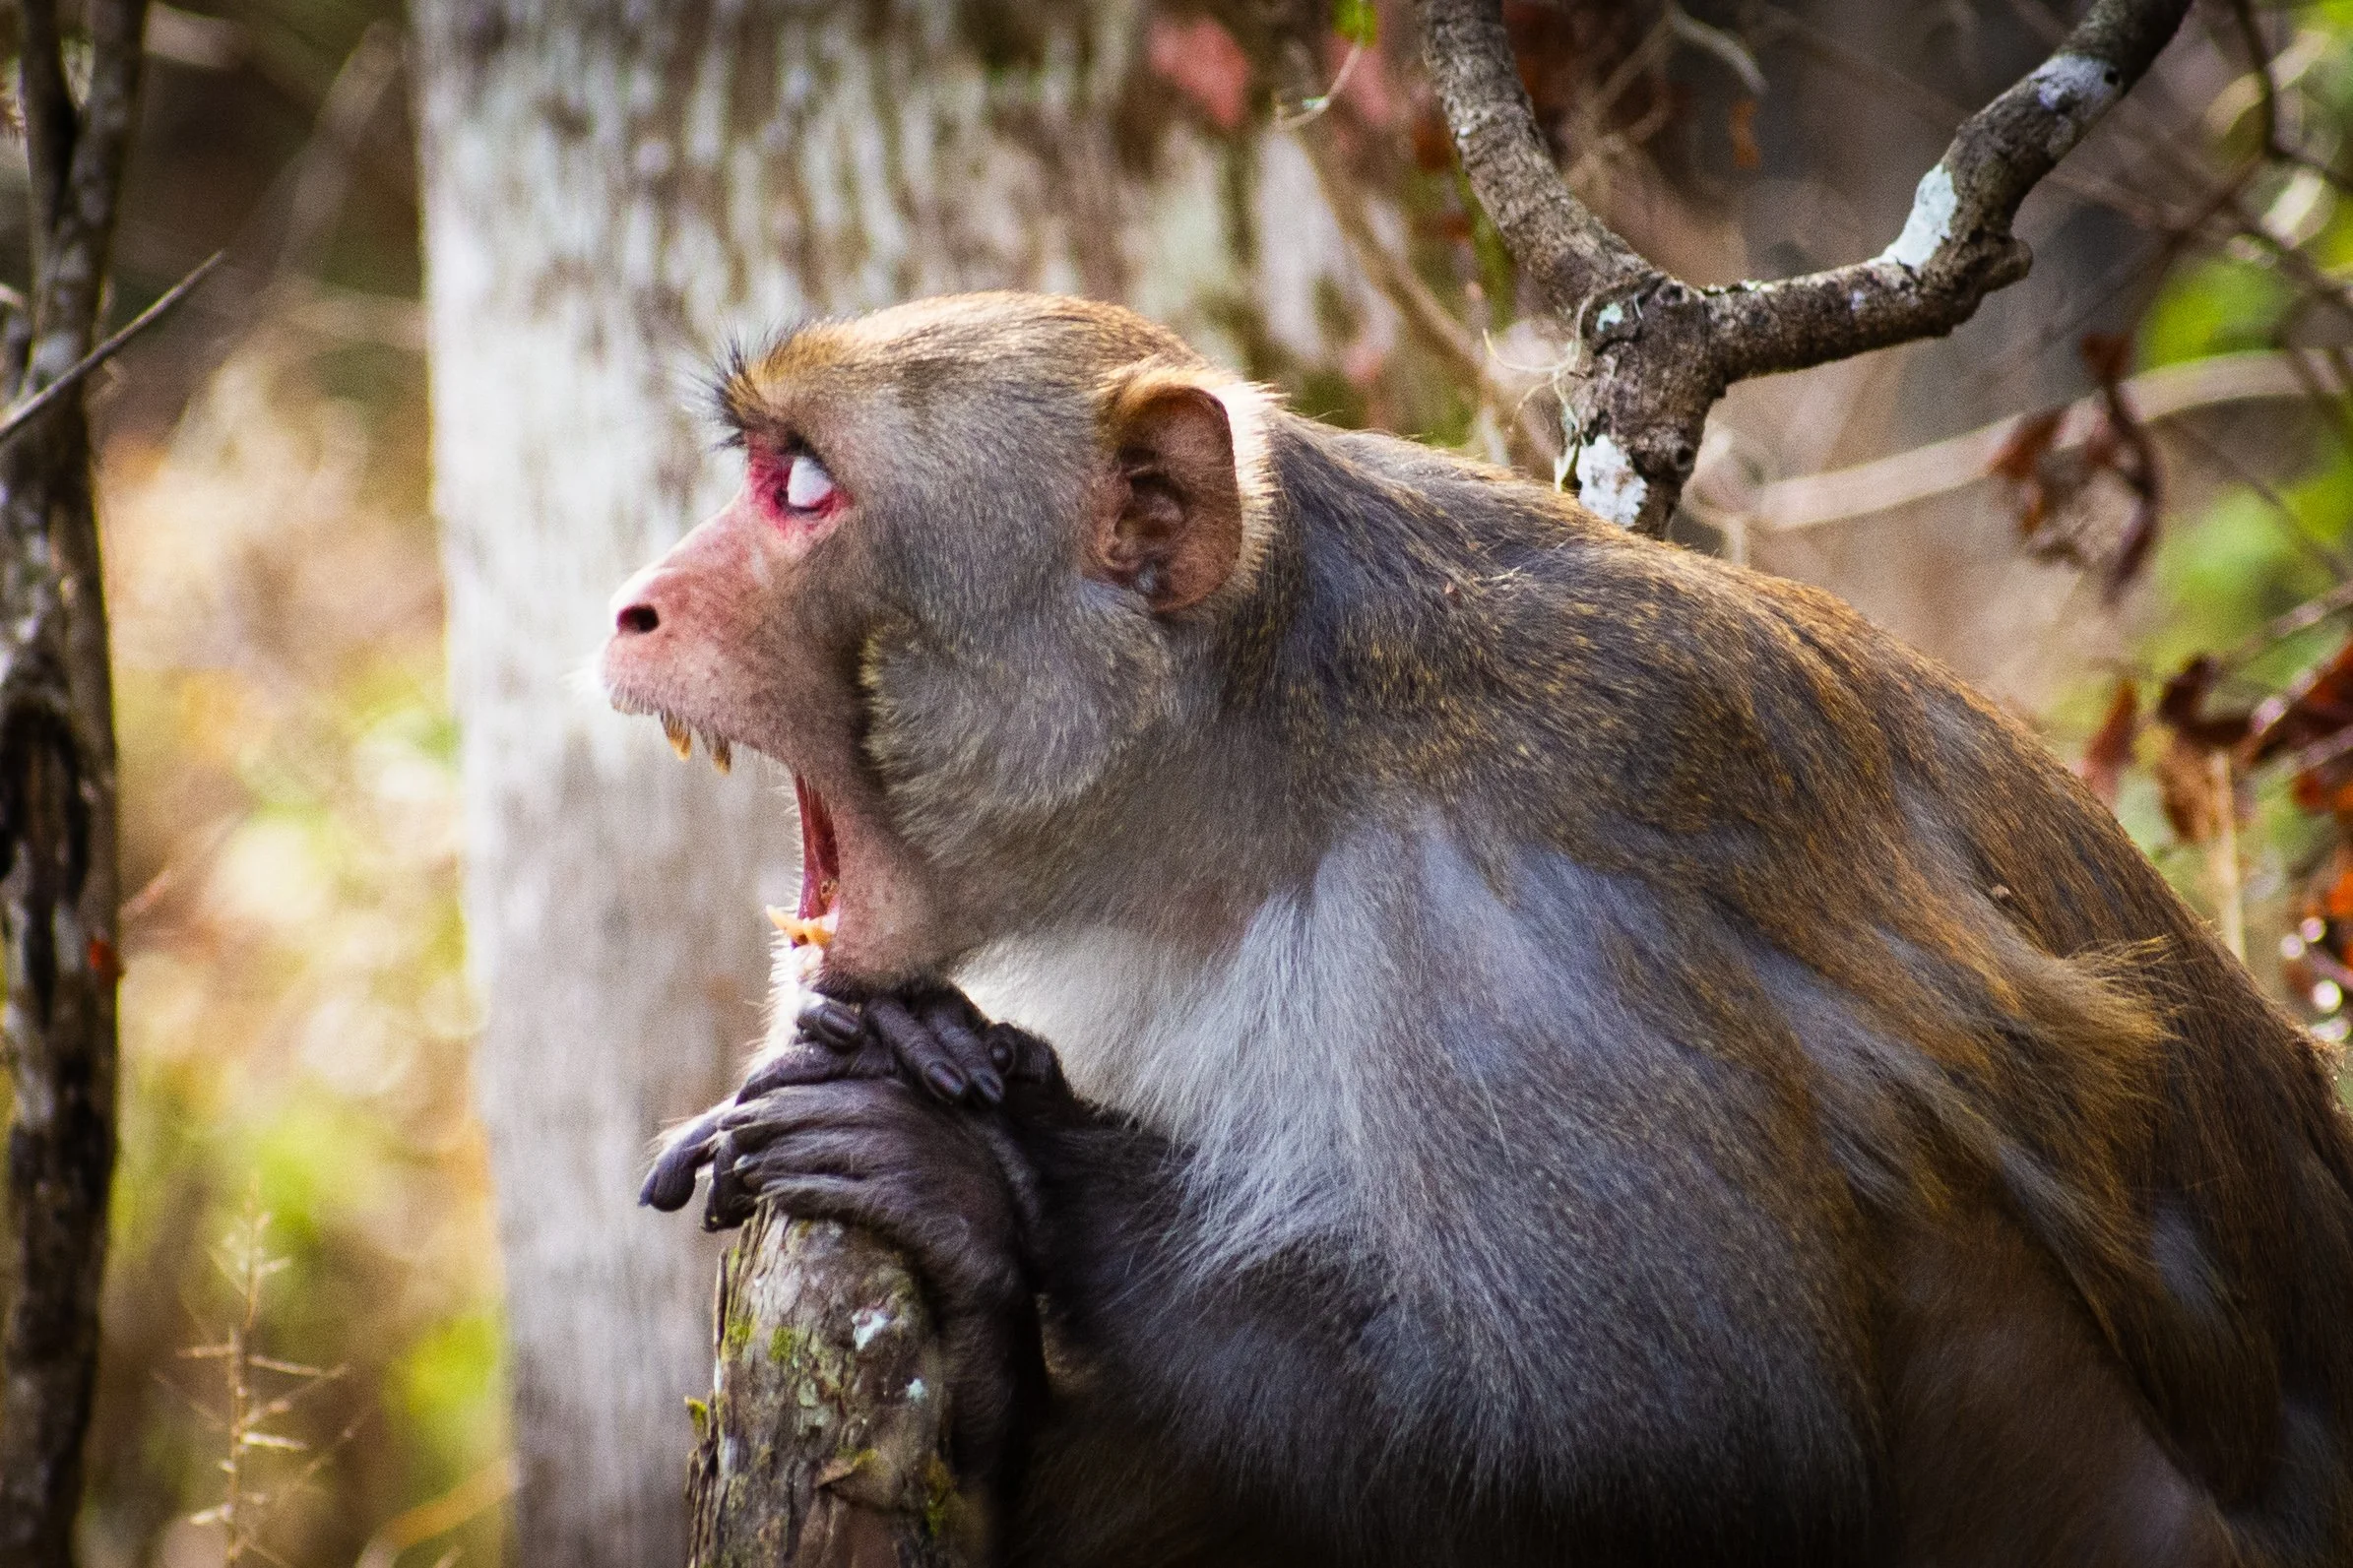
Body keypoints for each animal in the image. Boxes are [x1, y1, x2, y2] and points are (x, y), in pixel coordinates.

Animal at [600, 292, 2353, 1567]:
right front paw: (978, 1345)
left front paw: (998, 1182)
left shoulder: (1513, 921)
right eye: (762, 464)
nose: (635, 600)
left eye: (804, 488)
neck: (1248, 773)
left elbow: (1691, 1454)